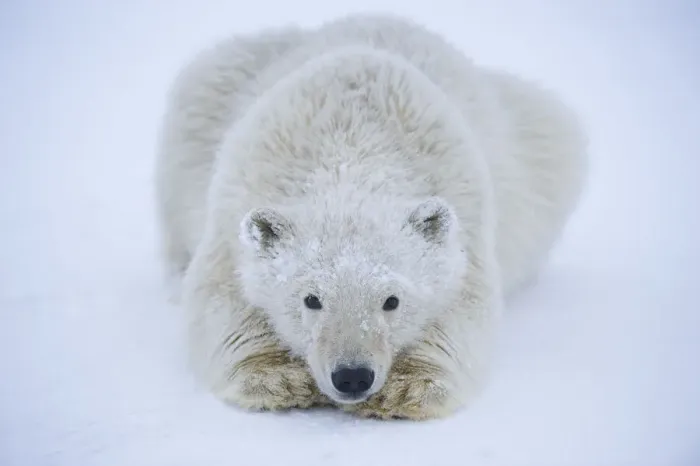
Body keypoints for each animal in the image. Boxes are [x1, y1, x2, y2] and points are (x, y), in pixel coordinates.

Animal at [154, 13, 587, 420]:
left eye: (391, 300)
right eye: (311, 299)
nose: (352, 376)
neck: (353, 142)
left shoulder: (465, 209)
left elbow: (461, 311)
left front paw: (406, 390)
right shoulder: (238, 200)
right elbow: (221, 300)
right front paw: (278, 379)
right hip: (205, 102)